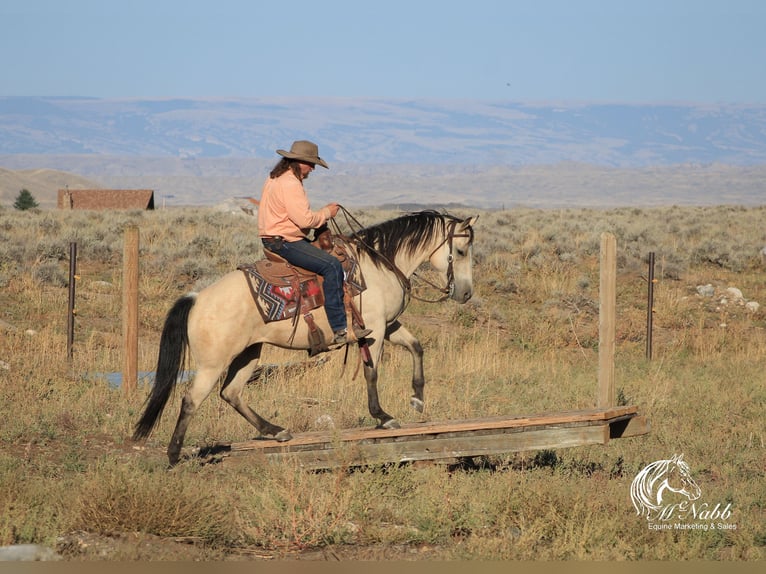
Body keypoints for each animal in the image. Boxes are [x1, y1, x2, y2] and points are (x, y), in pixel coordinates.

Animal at [134, 212, 476, 468]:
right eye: (460, 251)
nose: (465, 294)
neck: (379, 266)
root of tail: (196, 298)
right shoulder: (375, 330)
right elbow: (372, 373)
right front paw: (382, 417)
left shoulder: (387, 325)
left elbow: (416, 347)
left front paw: (417, 398)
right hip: (213, 363)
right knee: (192, 400)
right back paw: (174, 456)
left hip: (249, 353)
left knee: (231, 393)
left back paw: (276, 431)